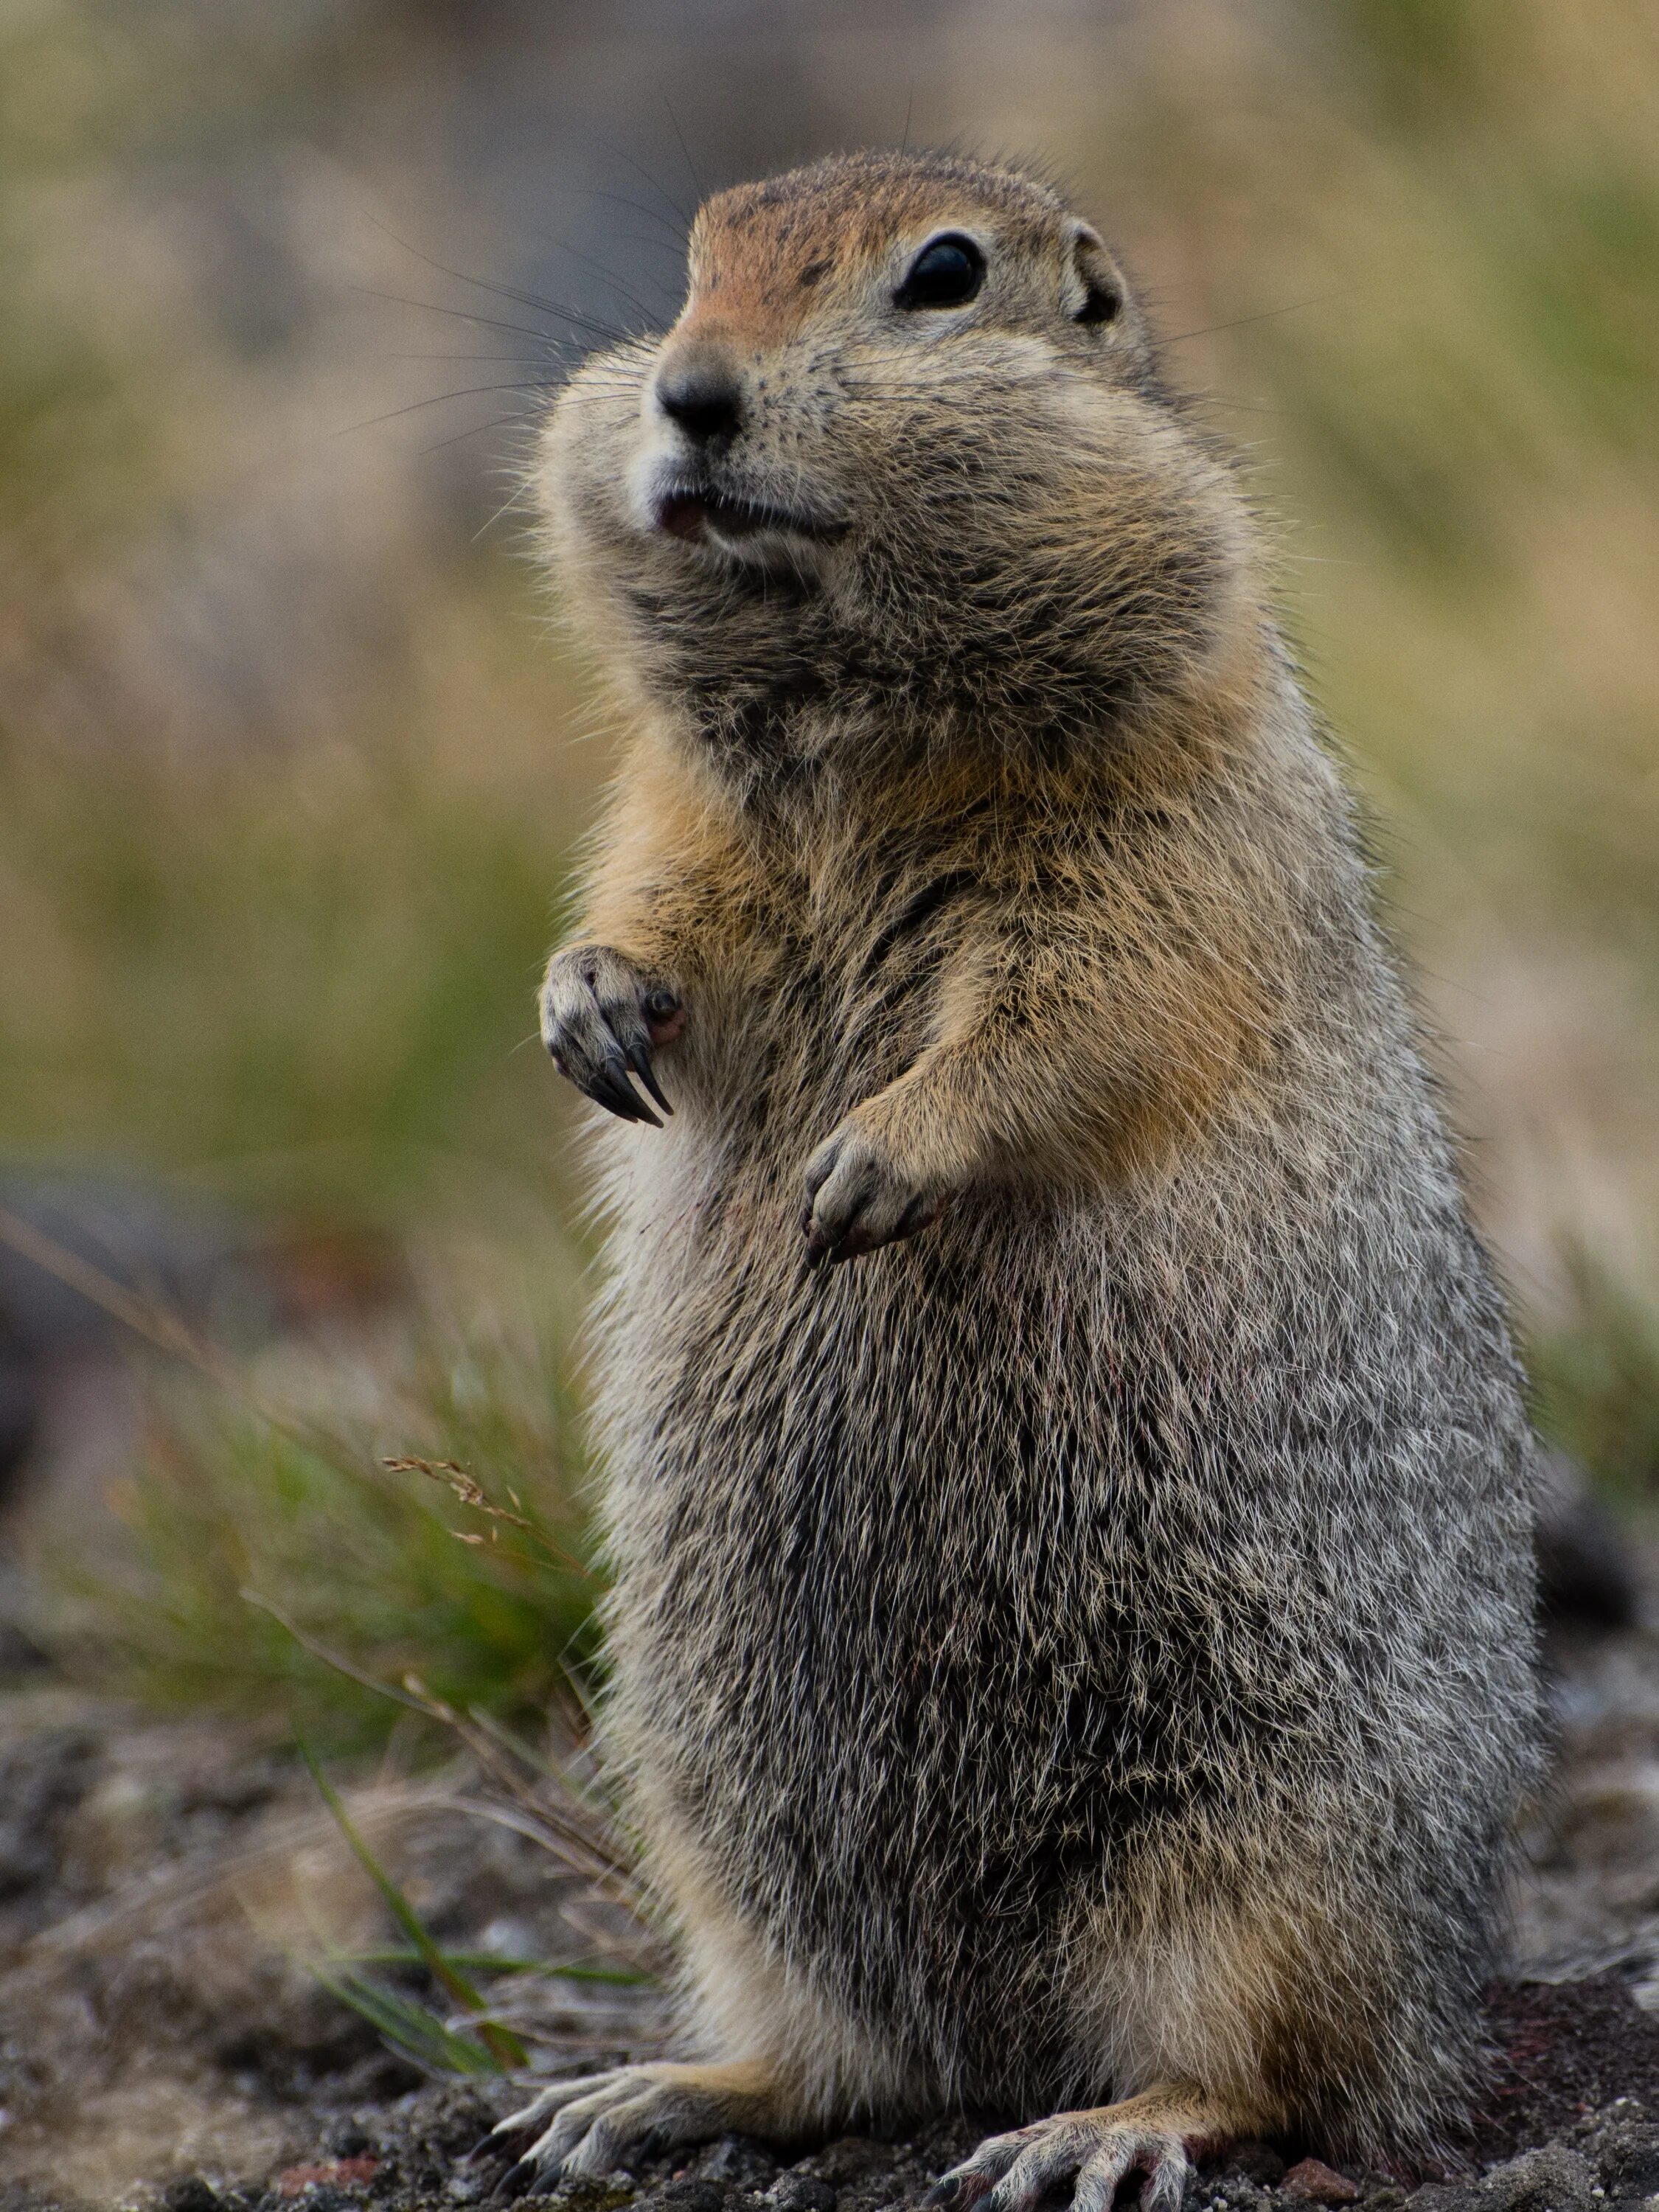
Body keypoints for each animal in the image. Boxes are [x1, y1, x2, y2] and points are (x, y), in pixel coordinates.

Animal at [491, 147, 1548, 2203]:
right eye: (689, 265)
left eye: (942, 274)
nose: (690, 394)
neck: (849, 712)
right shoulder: (678, 809)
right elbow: (663, 914)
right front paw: (588, 1006)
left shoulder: (1159, 824)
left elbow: (1078, 1008)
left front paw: (867, 1164)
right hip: (716, 1840)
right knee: (839, 2060)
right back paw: (641, 2091)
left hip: (1263, 1859)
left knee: (1282, 2075)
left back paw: (1101, 2129)